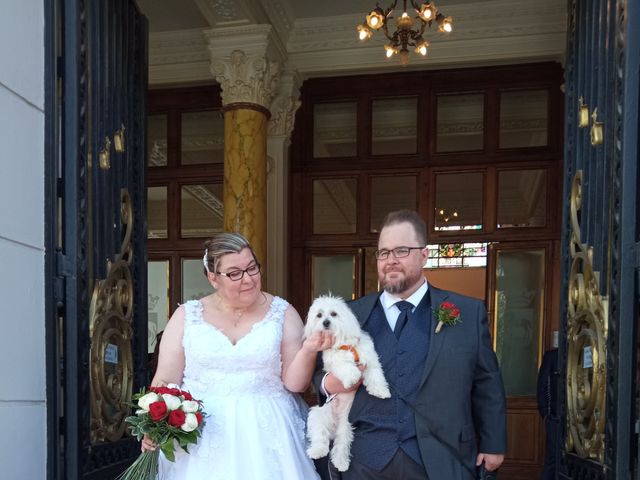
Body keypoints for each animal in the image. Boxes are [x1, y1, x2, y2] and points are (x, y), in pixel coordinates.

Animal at [304, 294, 390, 470]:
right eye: (319, 315)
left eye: (333, 314)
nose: (326, 322)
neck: (344, 344)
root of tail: (334, 424)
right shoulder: (335, 363)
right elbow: (345, 367)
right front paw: (352, 377)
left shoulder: (370, 360)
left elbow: (376, 375)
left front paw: (381, 391)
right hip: (318, 415)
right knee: (320, 437)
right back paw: (317, 451)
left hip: (346, 425)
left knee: (341, 444)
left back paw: (341, 462)